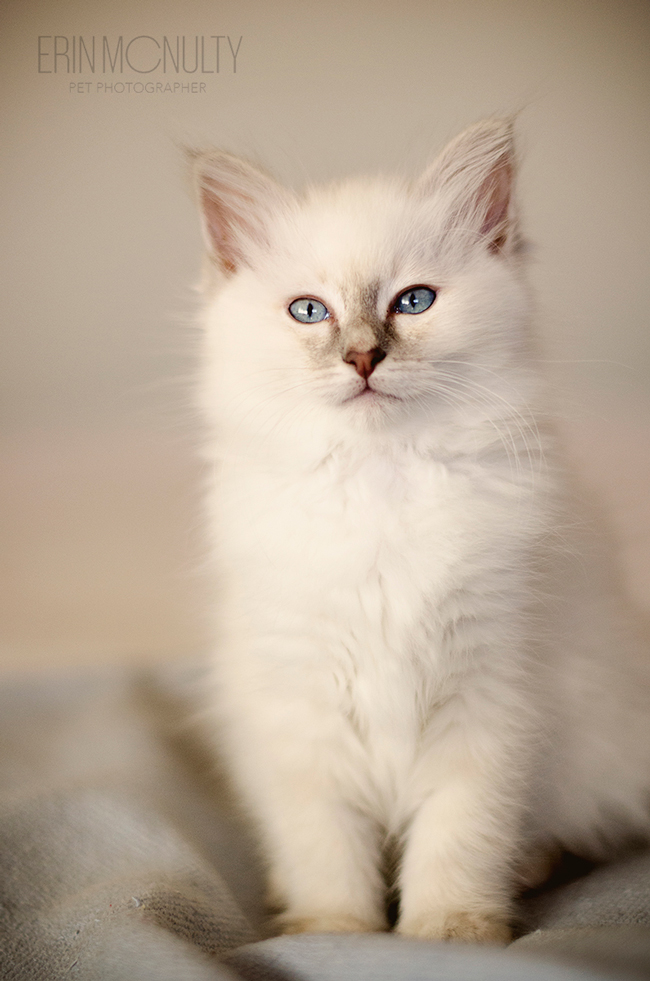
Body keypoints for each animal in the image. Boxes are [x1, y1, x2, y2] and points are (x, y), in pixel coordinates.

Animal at [191, 120, 648, 940]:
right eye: (309, 312)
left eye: (414, 301)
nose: (363, 357)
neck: (382, 482)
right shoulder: (302, 703)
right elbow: (326, 842)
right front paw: (335, 930)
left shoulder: (489, 694)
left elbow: (460, 832)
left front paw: (451, 929)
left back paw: (528, 871)